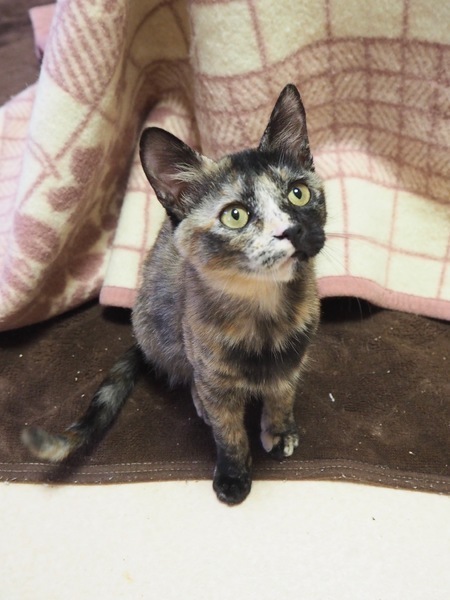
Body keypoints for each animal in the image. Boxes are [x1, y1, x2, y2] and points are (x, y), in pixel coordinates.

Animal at [22, 84, 326, 505]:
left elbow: (282, 395)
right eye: (235, 215)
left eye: (298, 193)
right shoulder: (210, 369)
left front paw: (280, 431)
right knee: (187, 377)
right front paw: (234, 474)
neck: (264, 312)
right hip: (164, 331)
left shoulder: (293, 359)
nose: (293, 230)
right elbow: (228, 430)